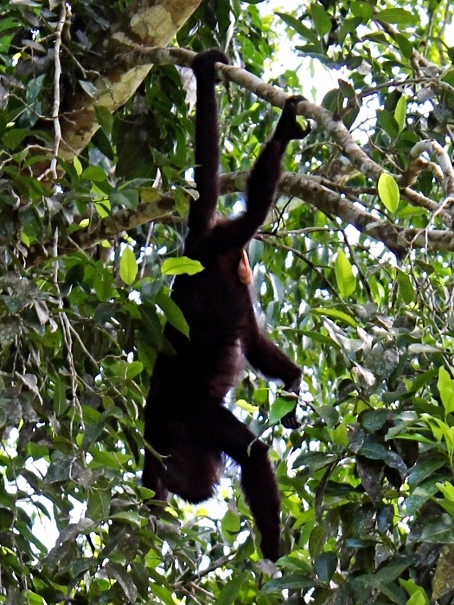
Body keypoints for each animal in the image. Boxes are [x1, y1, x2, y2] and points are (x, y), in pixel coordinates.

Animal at [144, 48, 310, 560]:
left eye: (182, 475)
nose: (198, 491)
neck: (169, 433)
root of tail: (194, 245)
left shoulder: (199, 418)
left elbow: (254, 455)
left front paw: (273, 548)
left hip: (224, 241)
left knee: (255, 209)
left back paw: (283, 132)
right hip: (234, 273)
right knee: (252, 342)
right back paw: (293, 379)